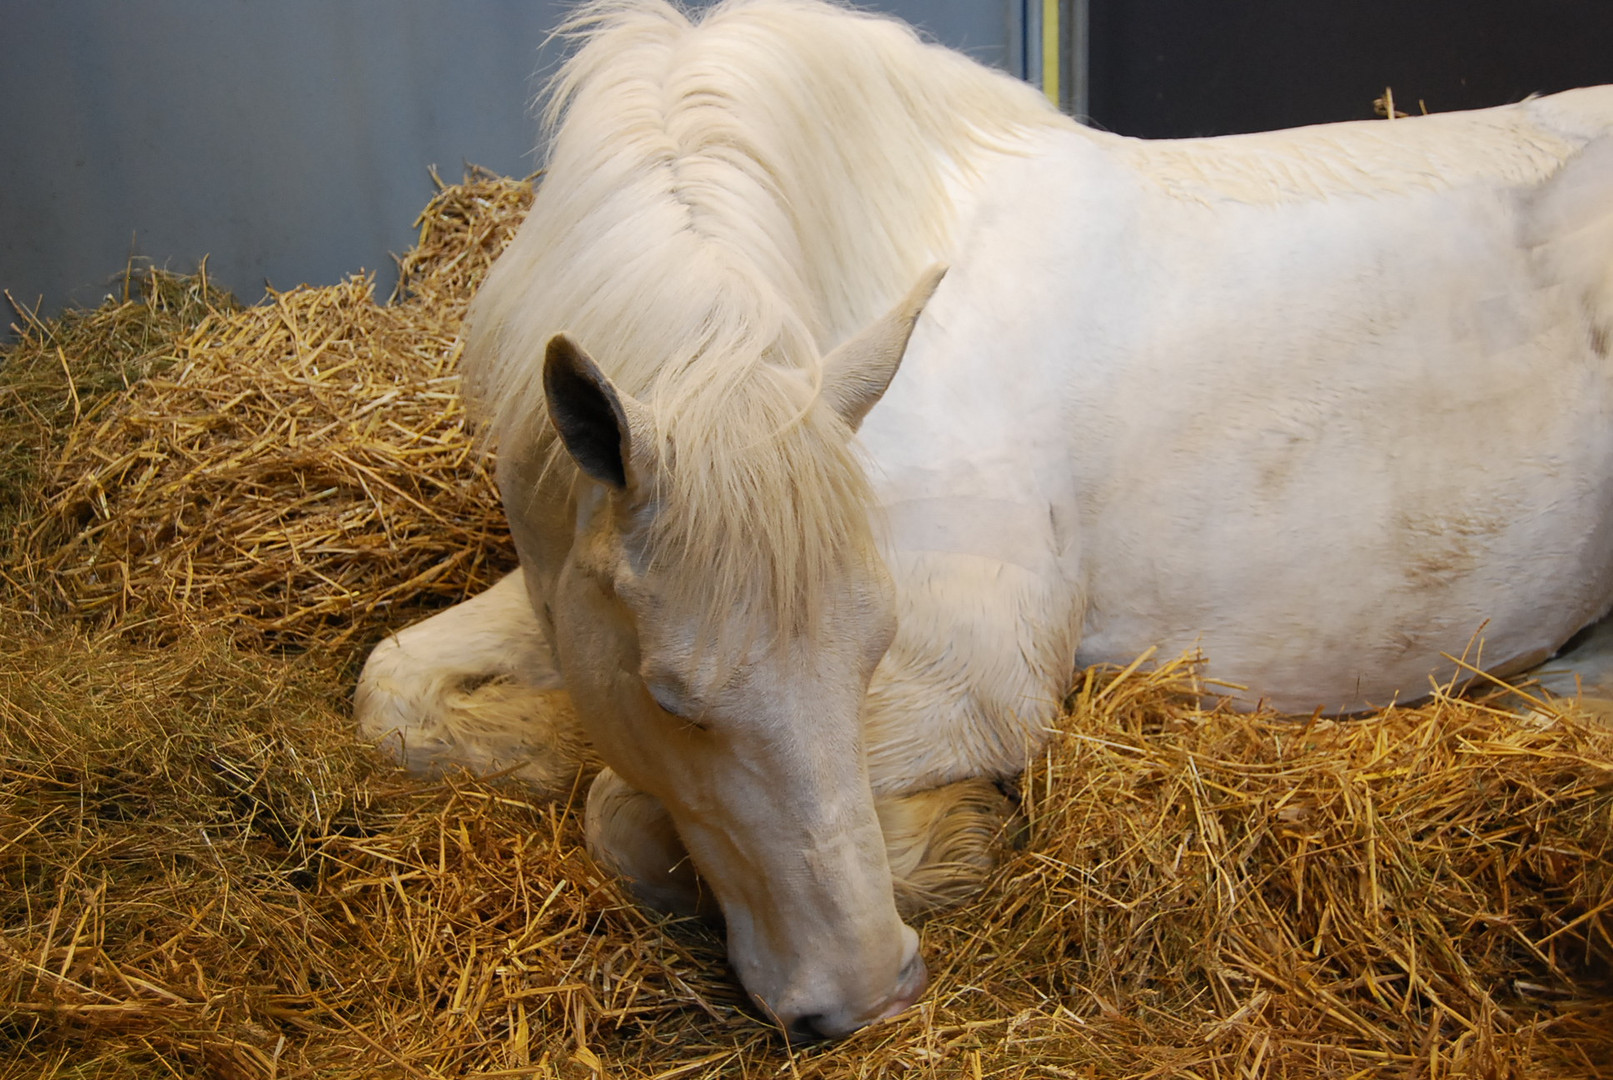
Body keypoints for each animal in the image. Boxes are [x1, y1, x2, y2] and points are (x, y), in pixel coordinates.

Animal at [353, 0, 1613, 1050]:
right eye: (669, 697)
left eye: (869, 648)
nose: (863, 997)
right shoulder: (578, 587)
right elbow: (396, 690)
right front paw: (539, 736)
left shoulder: (974, 681)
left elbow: (620, 813)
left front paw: (953, 834)